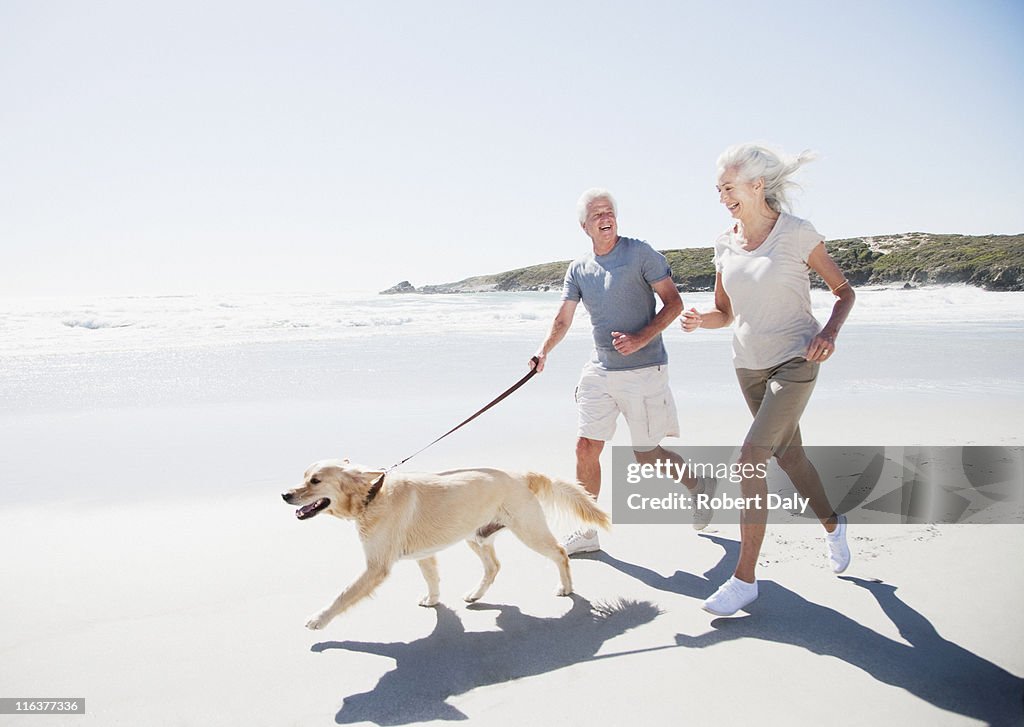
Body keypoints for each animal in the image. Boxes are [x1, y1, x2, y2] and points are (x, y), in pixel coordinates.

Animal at [282, 464, 606, 630]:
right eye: (304, 476)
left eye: (315, 480)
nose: (285, 495)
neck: (372, 497)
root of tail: (521, 474)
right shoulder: (422, 554)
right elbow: (432, 579)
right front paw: (433, 599)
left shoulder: (376, 567)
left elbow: (342, 594)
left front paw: (319, 619)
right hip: (476, 536)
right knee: (494, 566)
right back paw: (476, 594)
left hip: (529, 532)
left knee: (560, 553)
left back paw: (566, 587)